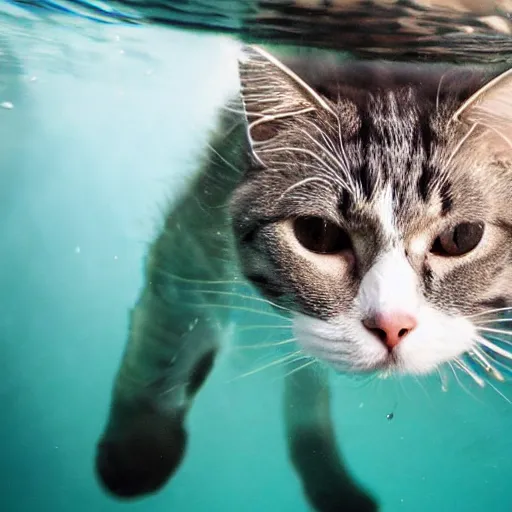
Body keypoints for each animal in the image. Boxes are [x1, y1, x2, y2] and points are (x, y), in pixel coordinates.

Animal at [94, 46, 512, 510]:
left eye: (461, 237)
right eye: (318, 234)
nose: (392, 325)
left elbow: (306, 389)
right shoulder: (191, 242)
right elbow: (165, 338)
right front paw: (138, 445)